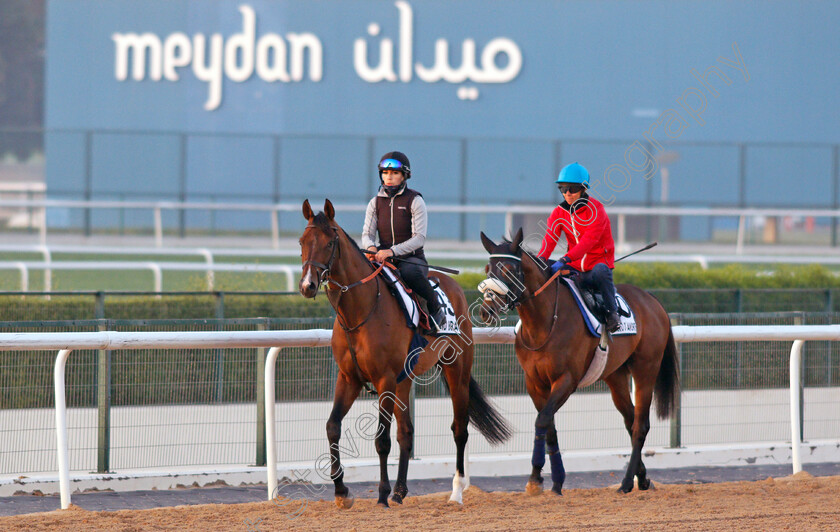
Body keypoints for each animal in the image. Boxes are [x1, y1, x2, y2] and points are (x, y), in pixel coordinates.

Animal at [302, 198, 512, 508]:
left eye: (329, 243)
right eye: (302, 242)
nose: (308, 285)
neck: (361, 312)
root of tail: (454, 287)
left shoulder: (385, 380)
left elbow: (381, 440)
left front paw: (381, 494)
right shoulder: (349, 378)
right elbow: (332, 427)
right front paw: (341, 491)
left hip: (457, 371)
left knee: (459, 429)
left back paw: (456, 491)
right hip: (406, 379)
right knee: (407, 432)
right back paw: (401, 491)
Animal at [476, 228, 680, 494]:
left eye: (509, 270)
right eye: (487, 270)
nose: (486, 311)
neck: (544, 324)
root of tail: (652, 300)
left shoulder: (566, 380)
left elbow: (542, 420)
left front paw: (536, 478)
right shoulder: (534, 382)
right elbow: (549, 427)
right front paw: (551, 479)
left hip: (646, 368)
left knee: (640, 425)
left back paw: (626, 483)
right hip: (615, 375)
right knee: (630, 419)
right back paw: (642, 478)